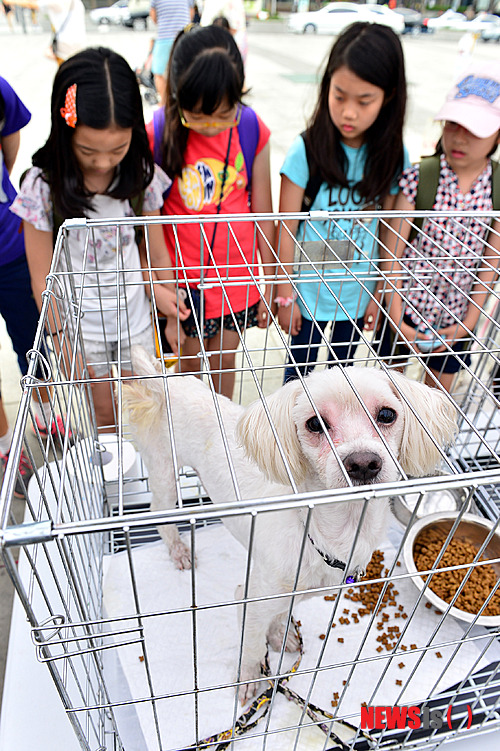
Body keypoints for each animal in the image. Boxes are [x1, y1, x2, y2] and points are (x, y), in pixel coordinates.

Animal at [122, 350, 458, 704]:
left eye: (387, 414)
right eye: (315, 424)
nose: (363, 462)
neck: (327, 533)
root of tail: (165, 383)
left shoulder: (294, 592)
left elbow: (282, 615)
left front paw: (280, 635)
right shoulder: (251, 598)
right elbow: (251, 646)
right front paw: (249, 678)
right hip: (163, 470)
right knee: (159, 512)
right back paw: (178, 549)